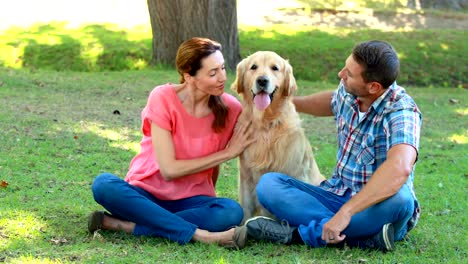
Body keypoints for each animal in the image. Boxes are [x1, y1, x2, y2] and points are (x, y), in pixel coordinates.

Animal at [231, 51, 326, 221]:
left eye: (274, 68)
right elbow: (246, 206)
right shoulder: (246, 173)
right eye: (253, 67)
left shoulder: (295, 170)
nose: (262, 80)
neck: (266, 124)